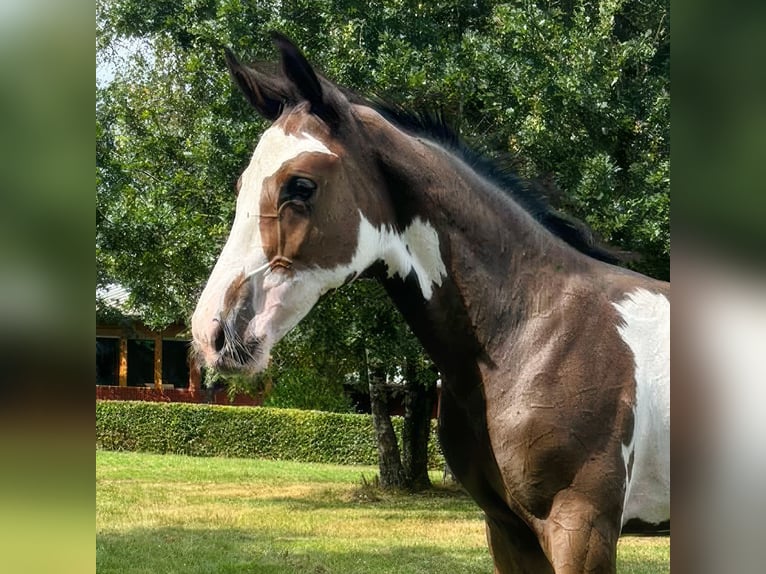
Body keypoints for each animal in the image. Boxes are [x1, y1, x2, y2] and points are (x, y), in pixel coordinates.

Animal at [194, 33, 672, 572]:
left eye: (301, 185)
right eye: (241, 185)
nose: (213, 332)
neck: (533, 328)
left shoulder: (583, 526)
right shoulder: (508, 528)